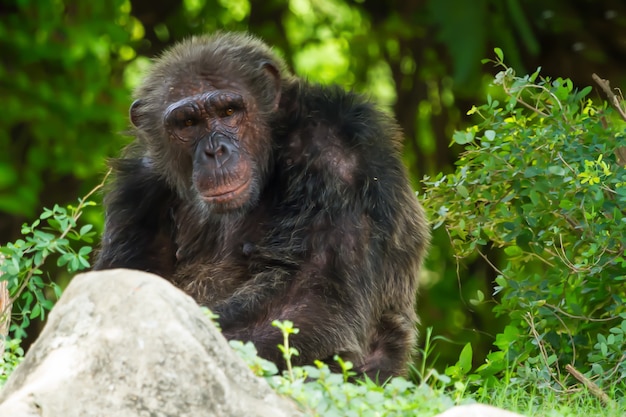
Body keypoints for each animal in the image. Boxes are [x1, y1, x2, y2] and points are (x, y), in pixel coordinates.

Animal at [95, 30, 428, 378]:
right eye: (187, 123)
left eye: (229, 112)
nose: (215, 150)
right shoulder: (138, 190)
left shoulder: (340, 157)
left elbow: (310, 300)